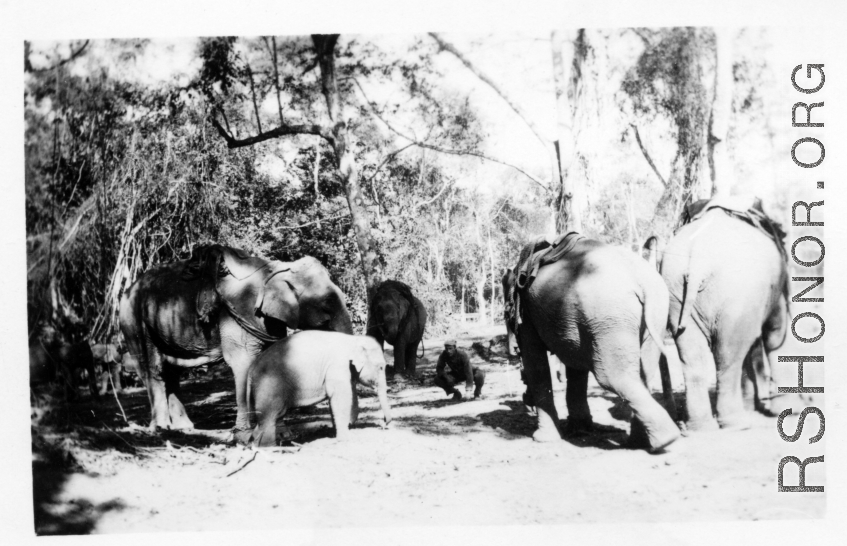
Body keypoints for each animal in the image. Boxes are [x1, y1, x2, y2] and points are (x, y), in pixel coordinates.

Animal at [118, 241, 352, 438]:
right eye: (326, 303)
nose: (341, 427)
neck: (273, 270)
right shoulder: (235, 313)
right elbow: (242, 362)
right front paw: (244, 434)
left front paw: (282, 434)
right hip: (133, 321)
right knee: (153, 368)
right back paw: (160, 429)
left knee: (173, 371)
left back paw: (184, 428)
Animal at [248, 330, 394, 444]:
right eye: (381, 367)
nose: (383, 424)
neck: (353, 339)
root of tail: (251, 369)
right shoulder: (338, 365)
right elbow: (341, 396)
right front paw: (345, 438)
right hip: (268, 385)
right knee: (269, 417)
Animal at [504, 234, 684, 450]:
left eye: (505, 312)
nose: (512, 350)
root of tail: (641, 281)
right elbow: (574, 365)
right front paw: (581, 430)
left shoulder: (527, 314)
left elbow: (536, 364)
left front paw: (543, 438)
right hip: (654, 314)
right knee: (644, 374)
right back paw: (641, 442)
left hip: (610, 315)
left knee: (612, 377)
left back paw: (665, 440)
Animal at [660, 198, 792, 432]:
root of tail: (698, 259)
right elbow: (774, 335)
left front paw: (754, 405)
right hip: (736, 294)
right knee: (728, 353)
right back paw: (737, 423)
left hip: (674, 287)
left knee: (692, 354)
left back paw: (701, 427)